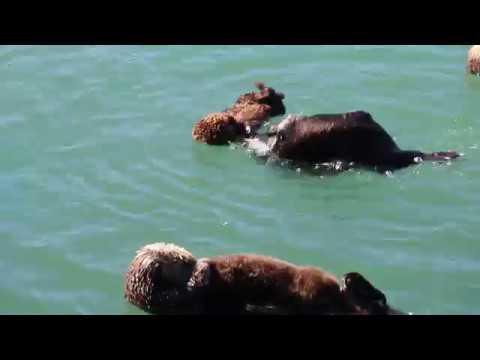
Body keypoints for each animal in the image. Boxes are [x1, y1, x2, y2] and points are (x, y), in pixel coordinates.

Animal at [124, 242, 404, 316]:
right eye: (181, 260)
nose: (193, 259)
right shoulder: (175, 300)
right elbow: (196, 286)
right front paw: (203, 267)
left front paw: (205, 262)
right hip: (318, 292)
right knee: (367, 306)